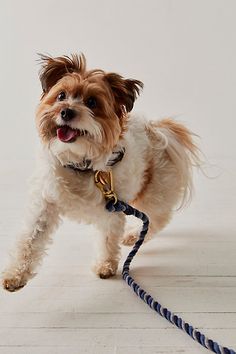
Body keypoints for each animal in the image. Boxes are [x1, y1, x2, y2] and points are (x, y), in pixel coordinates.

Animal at [1, 52, 198, 290]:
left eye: (92, 102)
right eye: (61, 96)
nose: (66, 111)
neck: (79, 164)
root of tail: (158, 133)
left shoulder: (111, 209)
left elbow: (107, 239)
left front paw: (105, 265)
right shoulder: (44, 205)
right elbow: (29, 240)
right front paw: (15, 274)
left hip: (153, 193)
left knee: (157, 219)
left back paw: (134, 235)